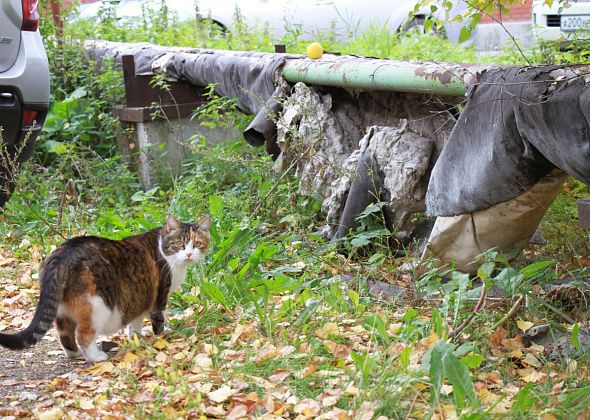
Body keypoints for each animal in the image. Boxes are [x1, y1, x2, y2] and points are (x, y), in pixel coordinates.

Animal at [0, 215, 210, 362]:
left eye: (197, 244)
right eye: (180, 244)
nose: (189, 254)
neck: (164, 250)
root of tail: (61, 255)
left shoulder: (141, 298)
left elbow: (135, 323)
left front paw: (137, 339)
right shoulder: (159, 296)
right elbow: (158, 322)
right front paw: (162, 338)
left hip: (63, 307)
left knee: (64, 332)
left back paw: (74, 354)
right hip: (97, 305)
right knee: (83, 333)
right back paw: (95, 357)